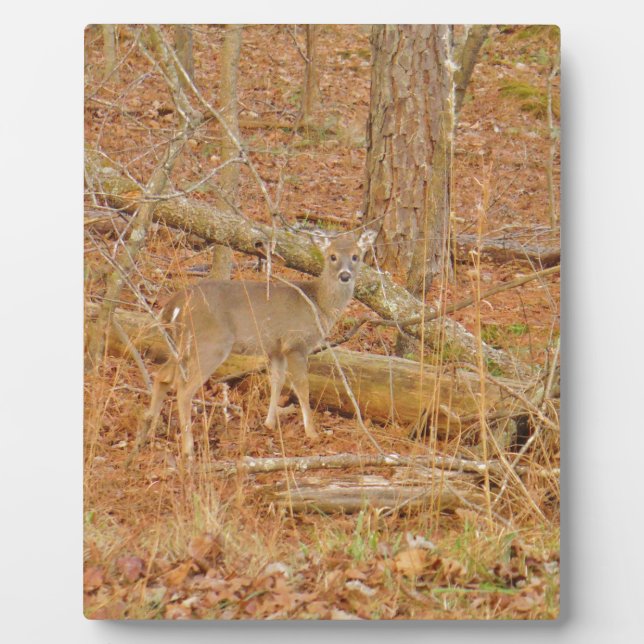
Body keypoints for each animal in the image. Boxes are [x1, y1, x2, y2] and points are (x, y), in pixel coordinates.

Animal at [131, 229, 377, 462]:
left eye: (356, 256)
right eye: (332, 256)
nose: (345, 275)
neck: (318, 305)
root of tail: (175, 303)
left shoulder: (276, 348)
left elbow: (277, 381)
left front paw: (269, 423)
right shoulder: (295, 343)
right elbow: (301, 386)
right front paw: (312, 433)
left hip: (180, 344)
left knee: (162, 376)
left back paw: (147, 433)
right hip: (211, 343)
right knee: (184, 389)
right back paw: (188, 450)